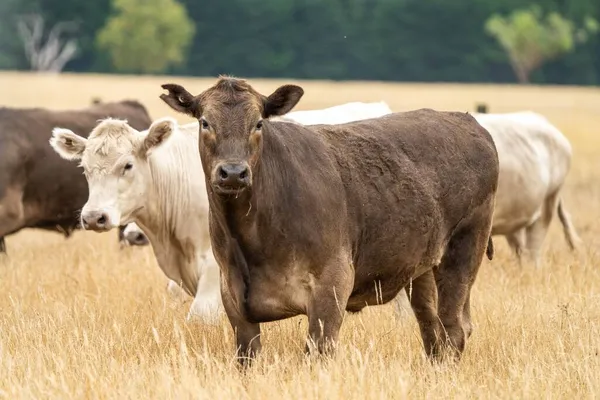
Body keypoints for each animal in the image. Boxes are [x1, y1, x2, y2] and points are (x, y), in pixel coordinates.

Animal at [157, 76, 500, 366]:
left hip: (464, 249)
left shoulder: (332, 284)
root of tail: (466, 119)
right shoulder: (233, 297)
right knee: (431, 326)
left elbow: (317, 354)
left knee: (454, 326)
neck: (252, 241)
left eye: (258, 123)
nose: (233, 172)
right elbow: (247, 356)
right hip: (423, 267)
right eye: (205, 122)